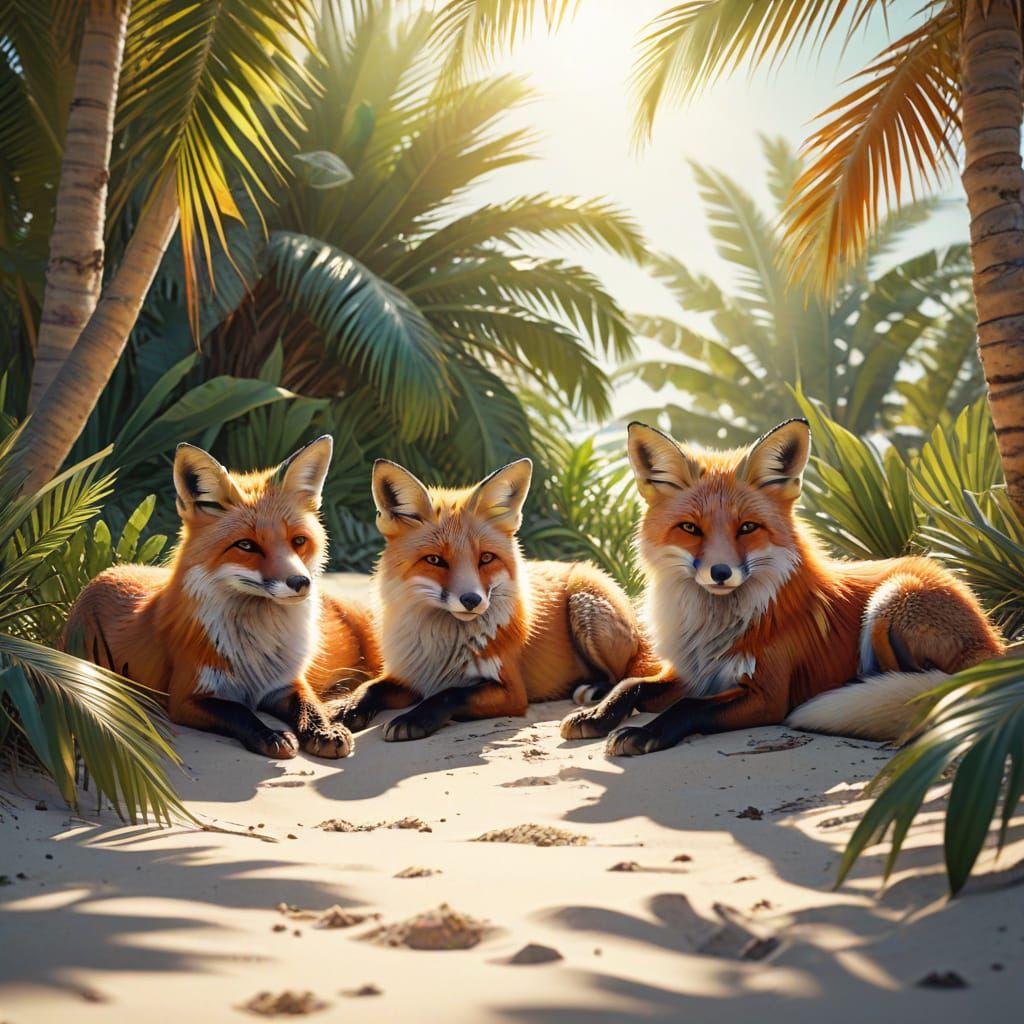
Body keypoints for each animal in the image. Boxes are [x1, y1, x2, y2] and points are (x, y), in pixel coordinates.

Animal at [63, 437, 380, 759]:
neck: (258, 648)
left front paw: (324, 730)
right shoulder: (186, 696)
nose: (301, 582)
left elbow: (310, 704)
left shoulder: (285, 683)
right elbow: (238, 712)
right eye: (247, 546)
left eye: (299, 541)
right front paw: (270, 735)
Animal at [335, 457, 656, 741]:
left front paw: (414, 719)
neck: (440, 646)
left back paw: (591, 690)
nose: (471, 600)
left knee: (622, 674)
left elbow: (450, 694)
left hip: (586, 602)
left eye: (486, 558)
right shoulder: (410, 676)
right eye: (435, 560)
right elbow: (370, 688)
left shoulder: (511, 692)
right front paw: (345, 709)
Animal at [559, 418, 1005, 755]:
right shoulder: (694, 672)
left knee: (907, 683)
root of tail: (994, 642)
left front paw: (645, 733)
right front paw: (596, 716)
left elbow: (689, 708)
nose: (720, 572)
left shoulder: (766, 695)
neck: (714, 628)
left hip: (891, 599)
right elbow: (632, 684)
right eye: (690, 529)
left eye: (747, 528)